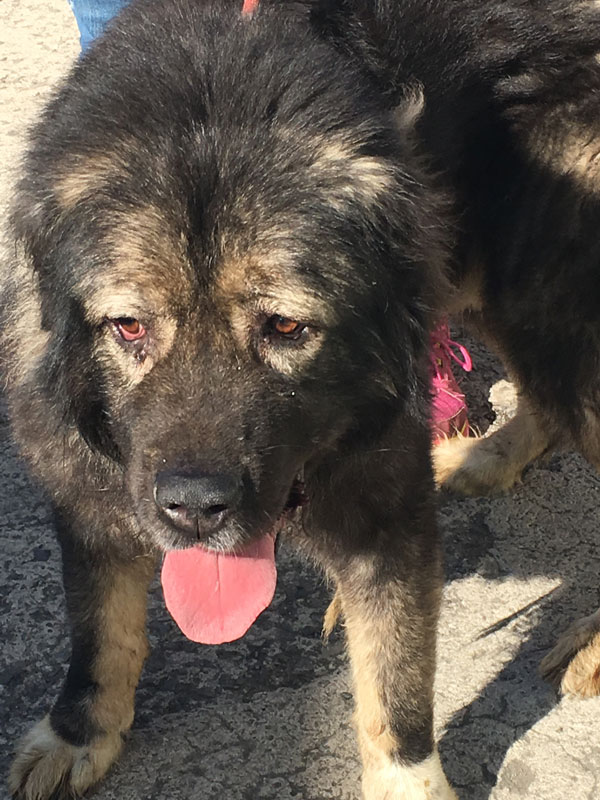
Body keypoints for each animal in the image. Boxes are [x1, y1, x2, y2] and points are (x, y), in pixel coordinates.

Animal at [3, 1, 600, 800]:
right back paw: (485, 457)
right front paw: (77, 732)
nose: (195, 509)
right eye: (129, 326)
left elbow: (394, 677)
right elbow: (100, 621)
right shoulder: (84, 479)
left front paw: (407, 781)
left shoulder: (384, 505)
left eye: (286, 327)